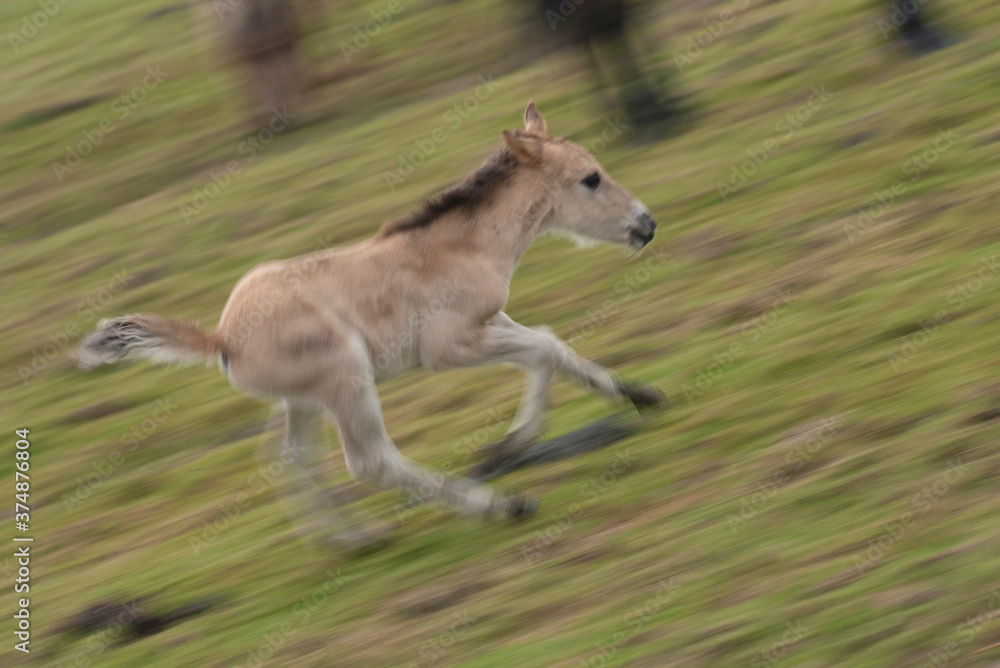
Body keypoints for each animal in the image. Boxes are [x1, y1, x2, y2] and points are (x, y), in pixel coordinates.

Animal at [78, 103, 664, 536]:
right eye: (590, 179)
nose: (647, 224)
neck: (464, 247)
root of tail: (221, 338)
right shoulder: (449, 347)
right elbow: (542, 350)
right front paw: (507, 446)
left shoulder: (492, 321)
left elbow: (551, 343)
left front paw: (638, 394)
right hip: (347, 380)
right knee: (370, 461)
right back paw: (502, 506)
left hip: (305, 399)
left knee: (289, 458)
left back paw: (353, 539)